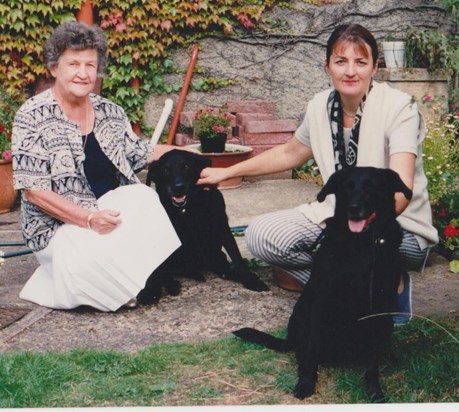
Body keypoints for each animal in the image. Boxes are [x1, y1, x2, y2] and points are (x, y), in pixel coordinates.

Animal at [138, 149, 272, 302]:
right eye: (165, 170)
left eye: (186, 167)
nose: (178, 187)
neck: (187, 207)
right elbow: (157, 268)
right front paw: (150, 289)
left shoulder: (222, 225)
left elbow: (236, 256)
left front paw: (250, 279)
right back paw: (169, 284)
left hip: (215, 253)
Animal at [234, 167, 414, 402]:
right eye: (347, 187)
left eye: (372, 187)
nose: (353, 208)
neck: (361, 246)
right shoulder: (320, 304)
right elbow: (312, 351)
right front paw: (306, 383)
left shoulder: (379, 308)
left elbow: (373, 360)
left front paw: (374, 390)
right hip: (303, 318)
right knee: (303, 351)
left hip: (387, 323)